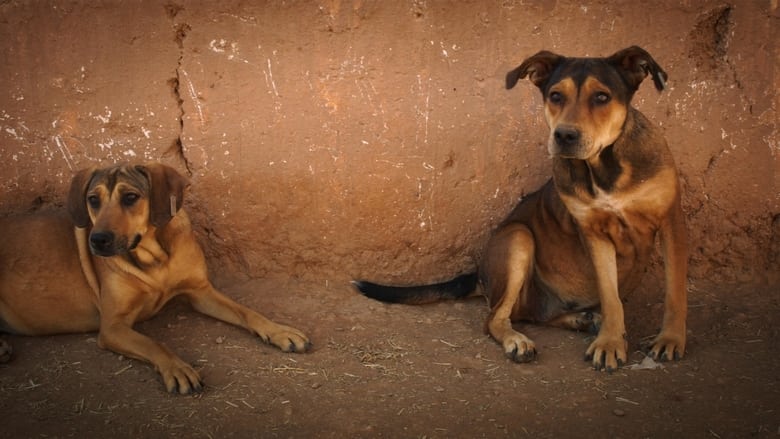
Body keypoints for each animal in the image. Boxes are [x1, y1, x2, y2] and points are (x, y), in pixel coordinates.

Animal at [0, 163, 310, 394]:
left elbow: (247, 312)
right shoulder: (112, 327)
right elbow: (154, 343)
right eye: (93, 200)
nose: (97, 240)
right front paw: (178, 367)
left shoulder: (201, 292)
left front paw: (278, 330)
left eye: (130, 197)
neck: (154, 257)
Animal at [356, 47, 684, 372]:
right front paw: (611, 343)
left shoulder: (671, 223)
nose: (564, 136)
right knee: (496, 319)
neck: (606, 167)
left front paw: (669, 339)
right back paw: (519, 341)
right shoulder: (594, 234)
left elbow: (673, 290)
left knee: (536, 315)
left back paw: (582, 318)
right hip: (517, 236)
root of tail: (480, 274)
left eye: (602, 97)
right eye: (555, 95)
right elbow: (610, 296)